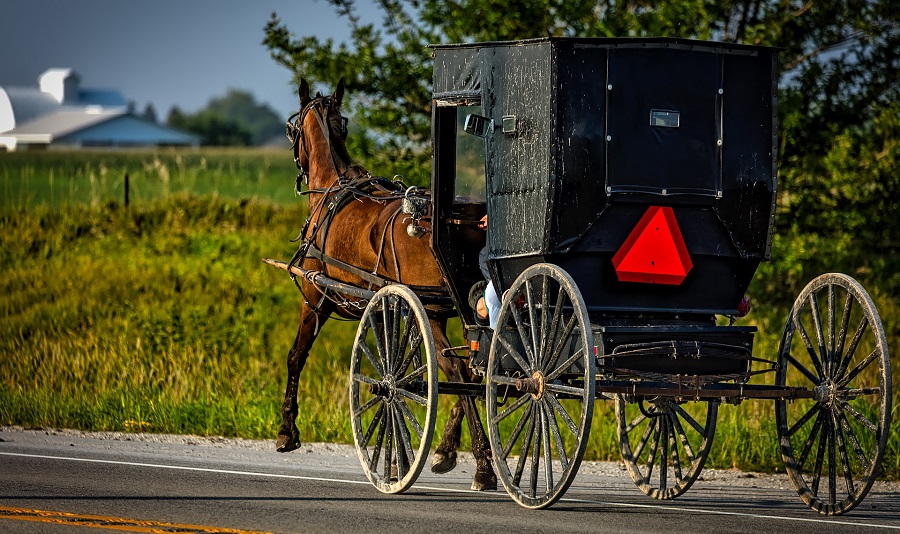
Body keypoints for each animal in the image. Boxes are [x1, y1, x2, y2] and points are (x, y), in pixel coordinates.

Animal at [278, 77, 496, 492]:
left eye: (292, 129)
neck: (332, 189)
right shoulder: (386, 309)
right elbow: (399, 371)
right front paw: (398, 458)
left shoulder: (315, 298)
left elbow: (296, 356)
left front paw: (286, 431)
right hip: (457, 311)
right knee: (478, 368)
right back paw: (448, 452)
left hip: (432, 311)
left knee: (460, 372)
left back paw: (482, 465)